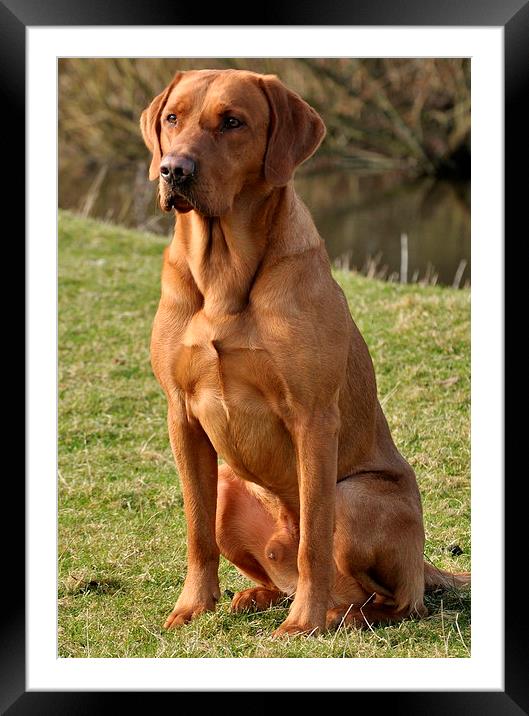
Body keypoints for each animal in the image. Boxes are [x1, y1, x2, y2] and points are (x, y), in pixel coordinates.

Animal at [140, 68, 470, 636]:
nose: (173, 170)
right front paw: (192, 607)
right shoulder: (181, 415)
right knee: (280, 572)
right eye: (173, 118)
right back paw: (258, 596)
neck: (222, 273)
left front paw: (303, 624)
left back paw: (339, 615)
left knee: (395, 599)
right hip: (229, 485)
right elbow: (196, 533)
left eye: (233, 122)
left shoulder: (313, 417)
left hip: (354, 496)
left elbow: (314, 537)